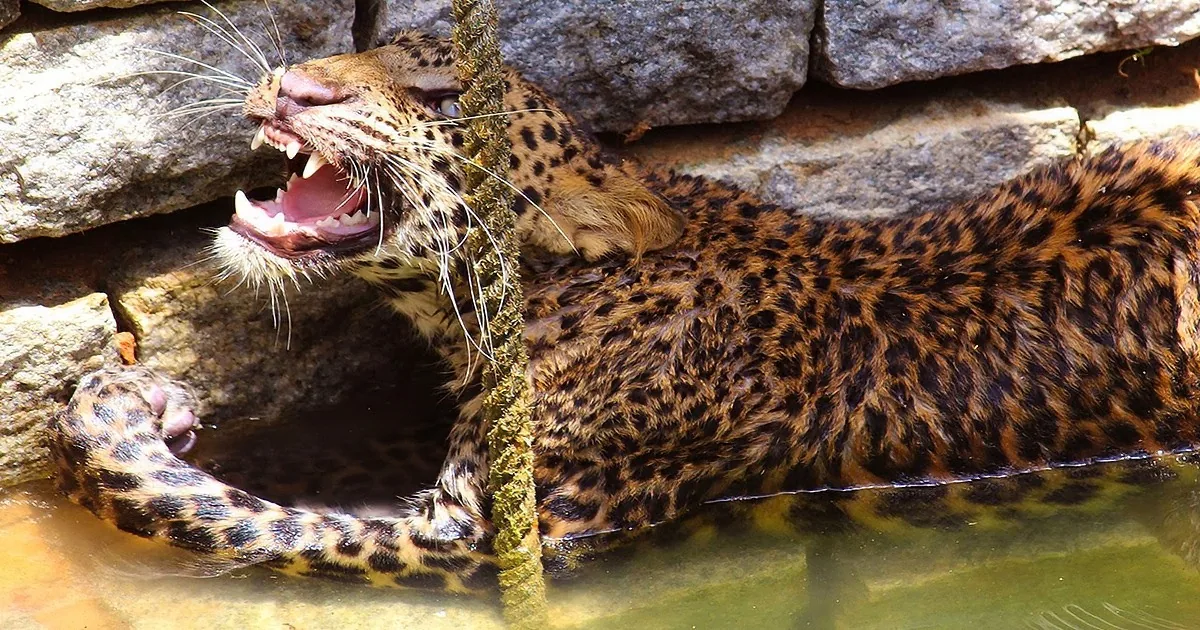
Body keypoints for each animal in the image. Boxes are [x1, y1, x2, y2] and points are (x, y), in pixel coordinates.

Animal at [46, 32, 1200, 593]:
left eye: (447, 98)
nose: (298, 88)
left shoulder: (482, 534)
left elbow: (231, 514)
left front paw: (112, 414)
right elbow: (298, 463)